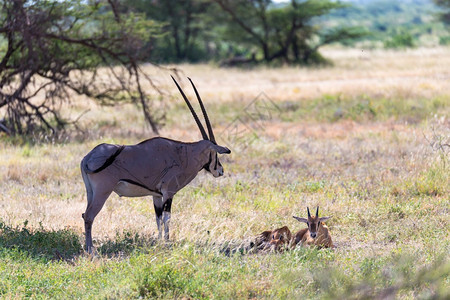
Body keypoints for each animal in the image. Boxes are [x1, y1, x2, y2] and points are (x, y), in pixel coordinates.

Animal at [78, 76, 230, 252]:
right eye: (215, 153)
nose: (220, 170)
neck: (184, 154)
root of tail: (87, 158)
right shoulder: (169, 193)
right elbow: (167, 218)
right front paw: (167, 243)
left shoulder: (156, 195)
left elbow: (157, 218)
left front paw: (158, 242)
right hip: (103, 191)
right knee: (89, 216)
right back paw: (91, 250)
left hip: (90, 192)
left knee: (85, 214)